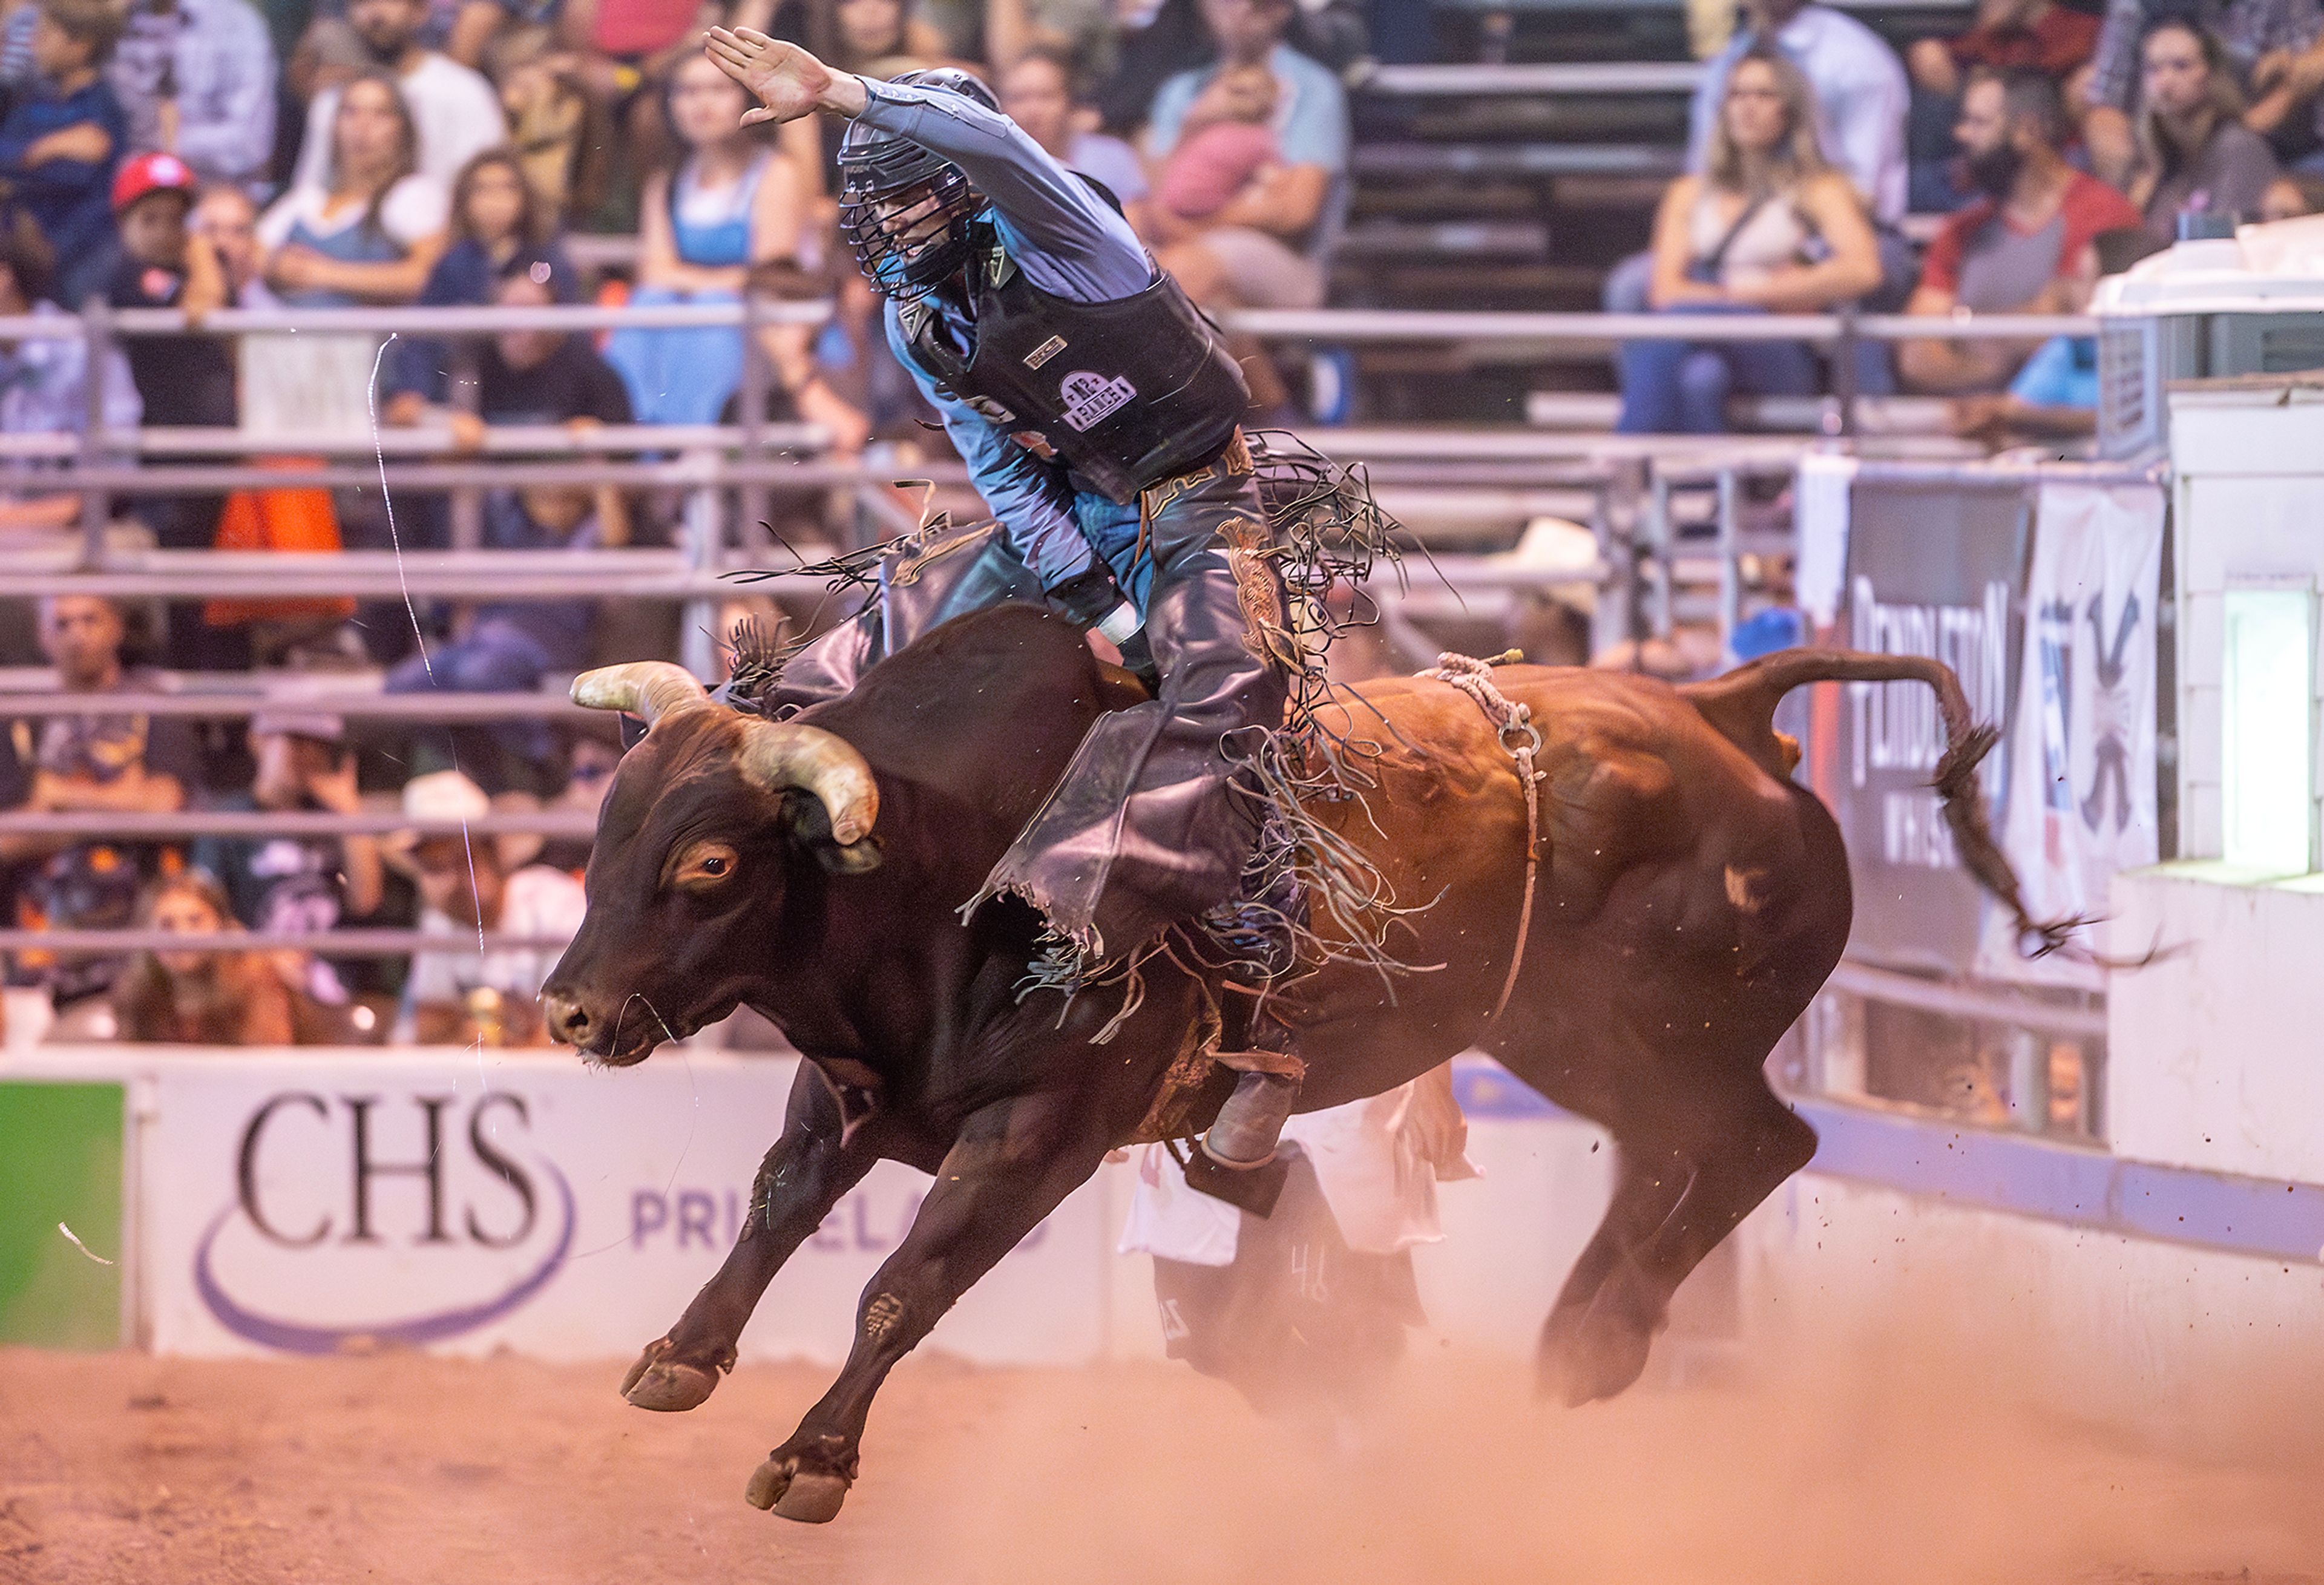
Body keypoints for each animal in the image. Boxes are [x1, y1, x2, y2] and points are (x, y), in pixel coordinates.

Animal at [539, 604, 2054, 1515]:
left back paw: (1602, 1333)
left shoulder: (1039, 1133)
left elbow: (904, 1285)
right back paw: (1577, 1337)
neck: (956, 859)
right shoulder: (852, 1085)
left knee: (1758, 1144)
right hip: (1571, 1041)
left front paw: (813, 1454)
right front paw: (680, 1351)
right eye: (610, 827)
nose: (567, 1011)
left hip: (1657, 1037)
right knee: (1673, 1162)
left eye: (711, 861)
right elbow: (776, 1208)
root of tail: (1727, 714)